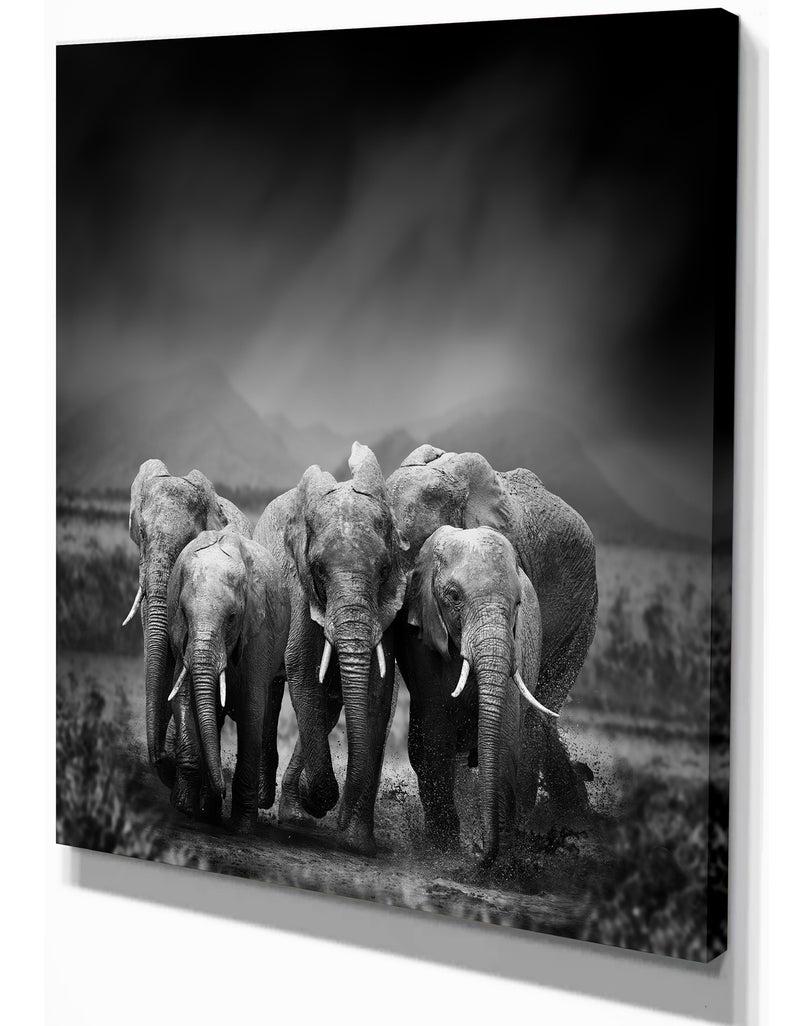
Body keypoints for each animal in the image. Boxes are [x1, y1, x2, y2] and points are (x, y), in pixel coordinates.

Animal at [166, 528, 290, 832]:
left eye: (232, 618)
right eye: (183, 613)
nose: (222, 791)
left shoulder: (259, 630)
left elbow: (252, 708)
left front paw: (242, 827)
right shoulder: (179, 635)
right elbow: (182, 695)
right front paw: (185, 807)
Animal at [254, 442, 407, 855]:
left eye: (384, 570)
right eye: (319, 570)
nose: (338, 820)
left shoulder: (386, 609)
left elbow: (377, 691)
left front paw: (357, 843)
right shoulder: (298, 587)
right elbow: (302, 670)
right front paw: (317, 798)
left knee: (331, 704)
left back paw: (294, 814)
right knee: (273, 688)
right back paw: (265, 799)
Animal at [400, 524, 552, 871]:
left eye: (518, 603)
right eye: (453, 597)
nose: (478, 849)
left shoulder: (516, 647)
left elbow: (506, 736)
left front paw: (502, 859)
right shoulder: (423, 641)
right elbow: (436, 734)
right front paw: (445, 849)